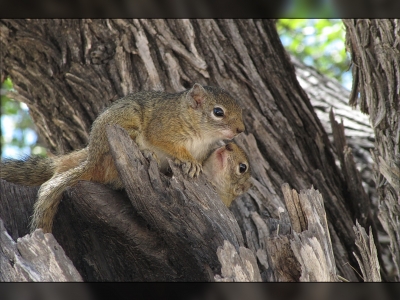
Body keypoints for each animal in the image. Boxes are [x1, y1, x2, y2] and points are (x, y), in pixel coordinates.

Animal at [0, 83, 245, 233]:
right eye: (218, 112)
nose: (241, 130)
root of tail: (93, 159)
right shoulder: (164, 127)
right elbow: (165, 142)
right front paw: (189, 162)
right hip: (125, 122)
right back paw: (145, 152)